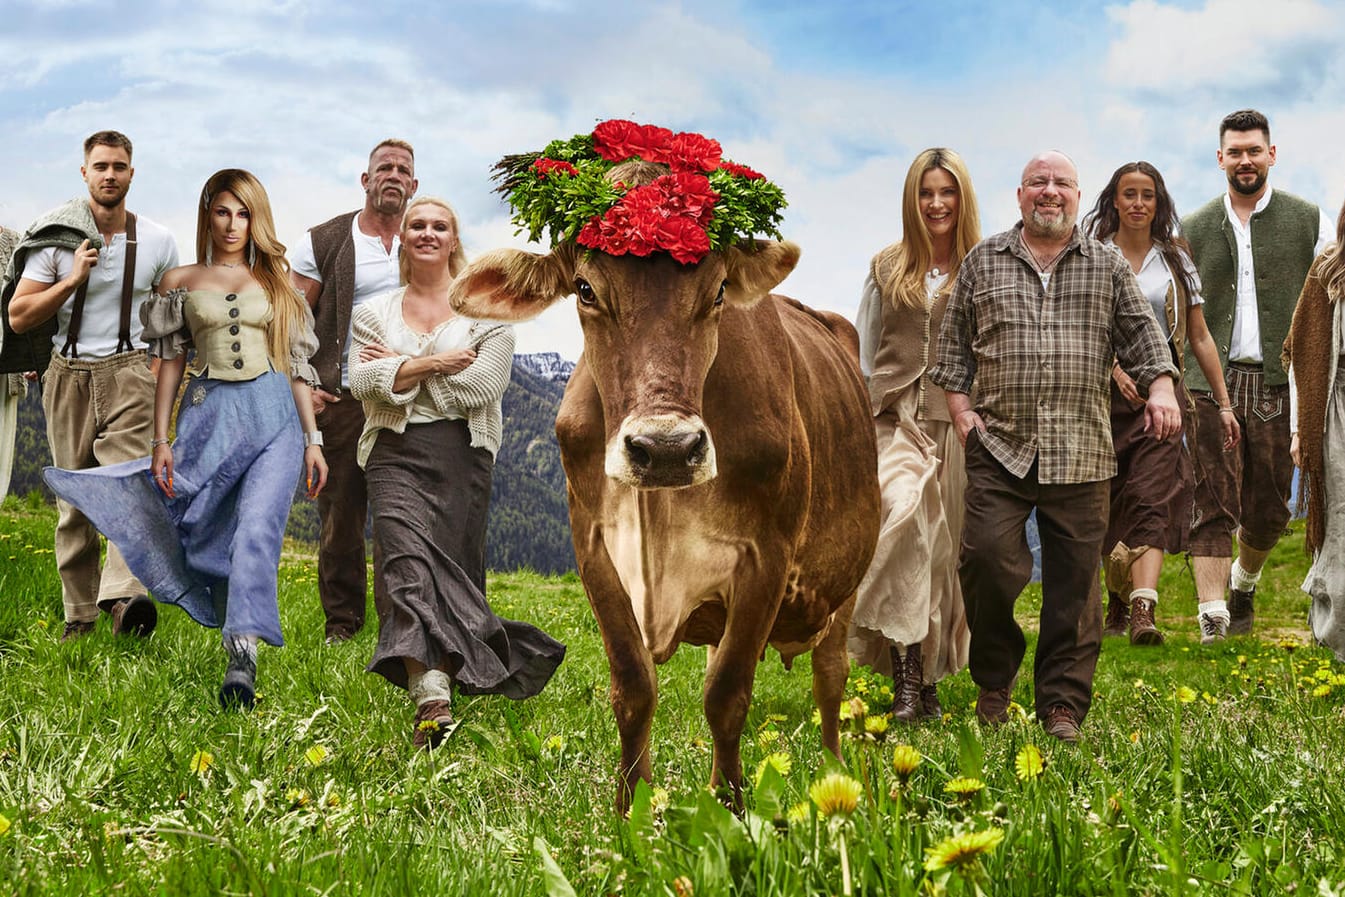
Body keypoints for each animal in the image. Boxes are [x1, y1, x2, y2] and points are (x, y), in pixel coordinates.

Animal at [451, 205, 882, 812]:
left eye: (719, 290)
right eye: (585, 288)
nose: (667, 450)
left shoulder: (766, 556)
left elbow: (727, 694)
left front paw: (731, 811)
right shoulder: (594, 548)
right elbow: (633, 688)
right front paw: (630, 813)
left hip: (847, 581)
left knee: (830, 677)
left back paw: (835, 774)